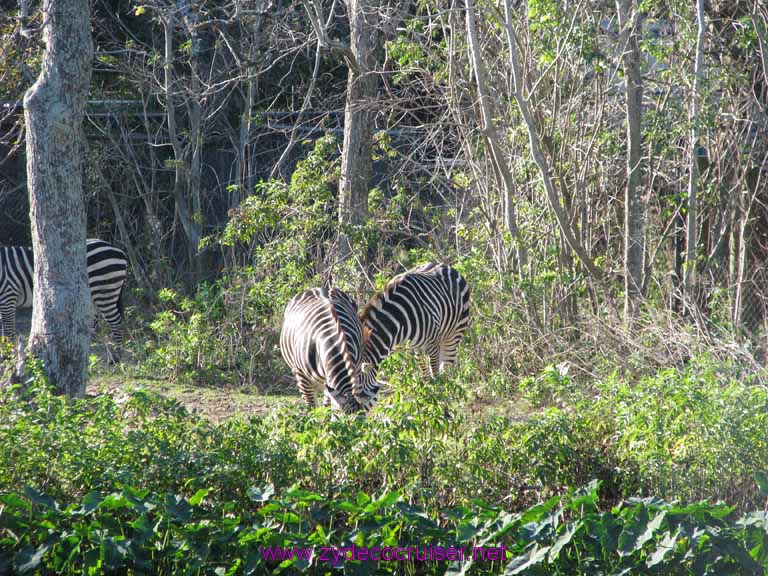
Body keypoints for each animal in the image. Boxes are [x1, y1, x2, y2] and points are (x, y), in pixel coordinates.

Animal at [0, 238, 129, 356]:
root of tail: (118, 250)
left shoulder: (8, 295)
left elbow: (8, 330)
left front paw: (8, 354)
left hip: (103, 289)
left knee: (115, 320)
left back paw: (116, 356)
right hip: (96, 293)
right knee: (95, 319)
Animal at [355, 262, 471, 408]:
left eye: (361, 400)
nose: (350, 413)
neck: (399, 320)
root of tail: (446, 266)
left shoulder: (432, 343)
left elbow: (435, 374)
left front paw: (438, 399)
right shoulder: (413, 346)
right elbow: (425, 374)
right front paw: (427, 398)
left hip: (454, 333)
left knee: (446, 368)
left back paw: (447, 395)